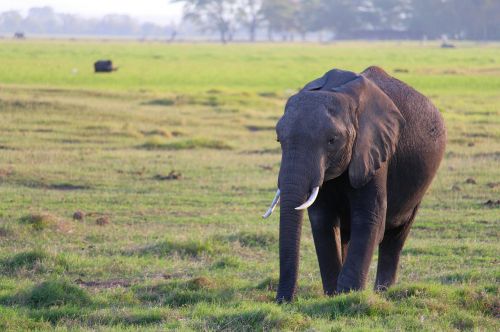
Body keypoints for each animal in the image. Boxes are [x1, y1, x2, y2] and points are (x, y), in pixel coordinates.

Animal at [262, 66, 446, 302]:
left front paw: (348, 295)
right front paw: (334, 296)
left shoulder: (375, 148)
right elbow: (322, 221)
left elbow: (369, 219)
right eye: (279, 140)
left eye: (332, 140)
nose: (282, 301)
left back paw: (383, 292)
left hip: (419, 186)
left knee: (396, 236)